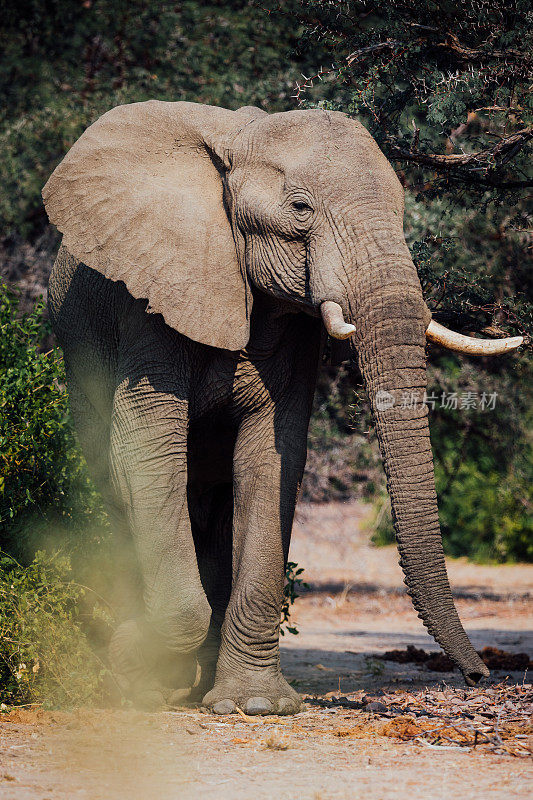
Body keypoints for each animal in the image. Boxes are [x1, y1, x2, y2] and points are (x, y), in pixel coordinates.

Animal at [40, 97, 520, 716]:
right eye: (299, 209)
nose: (480, 676)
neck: (240, 137)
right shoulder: (150, 296)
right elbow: (148, 447)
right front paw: (134, 666)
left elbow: (271, 458)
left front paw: (255, 705)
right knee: (124, 492)